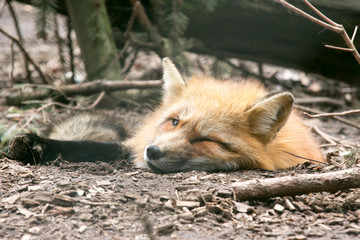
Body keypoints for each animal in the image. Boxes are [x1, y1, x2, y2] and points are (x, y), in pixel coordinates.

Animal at [7, 57, 324, 172]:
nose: (153, 151)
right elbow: (86, 147)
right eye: (174, 122)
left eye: (206, 139)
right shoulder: (129, 146)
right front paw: (34, 145)